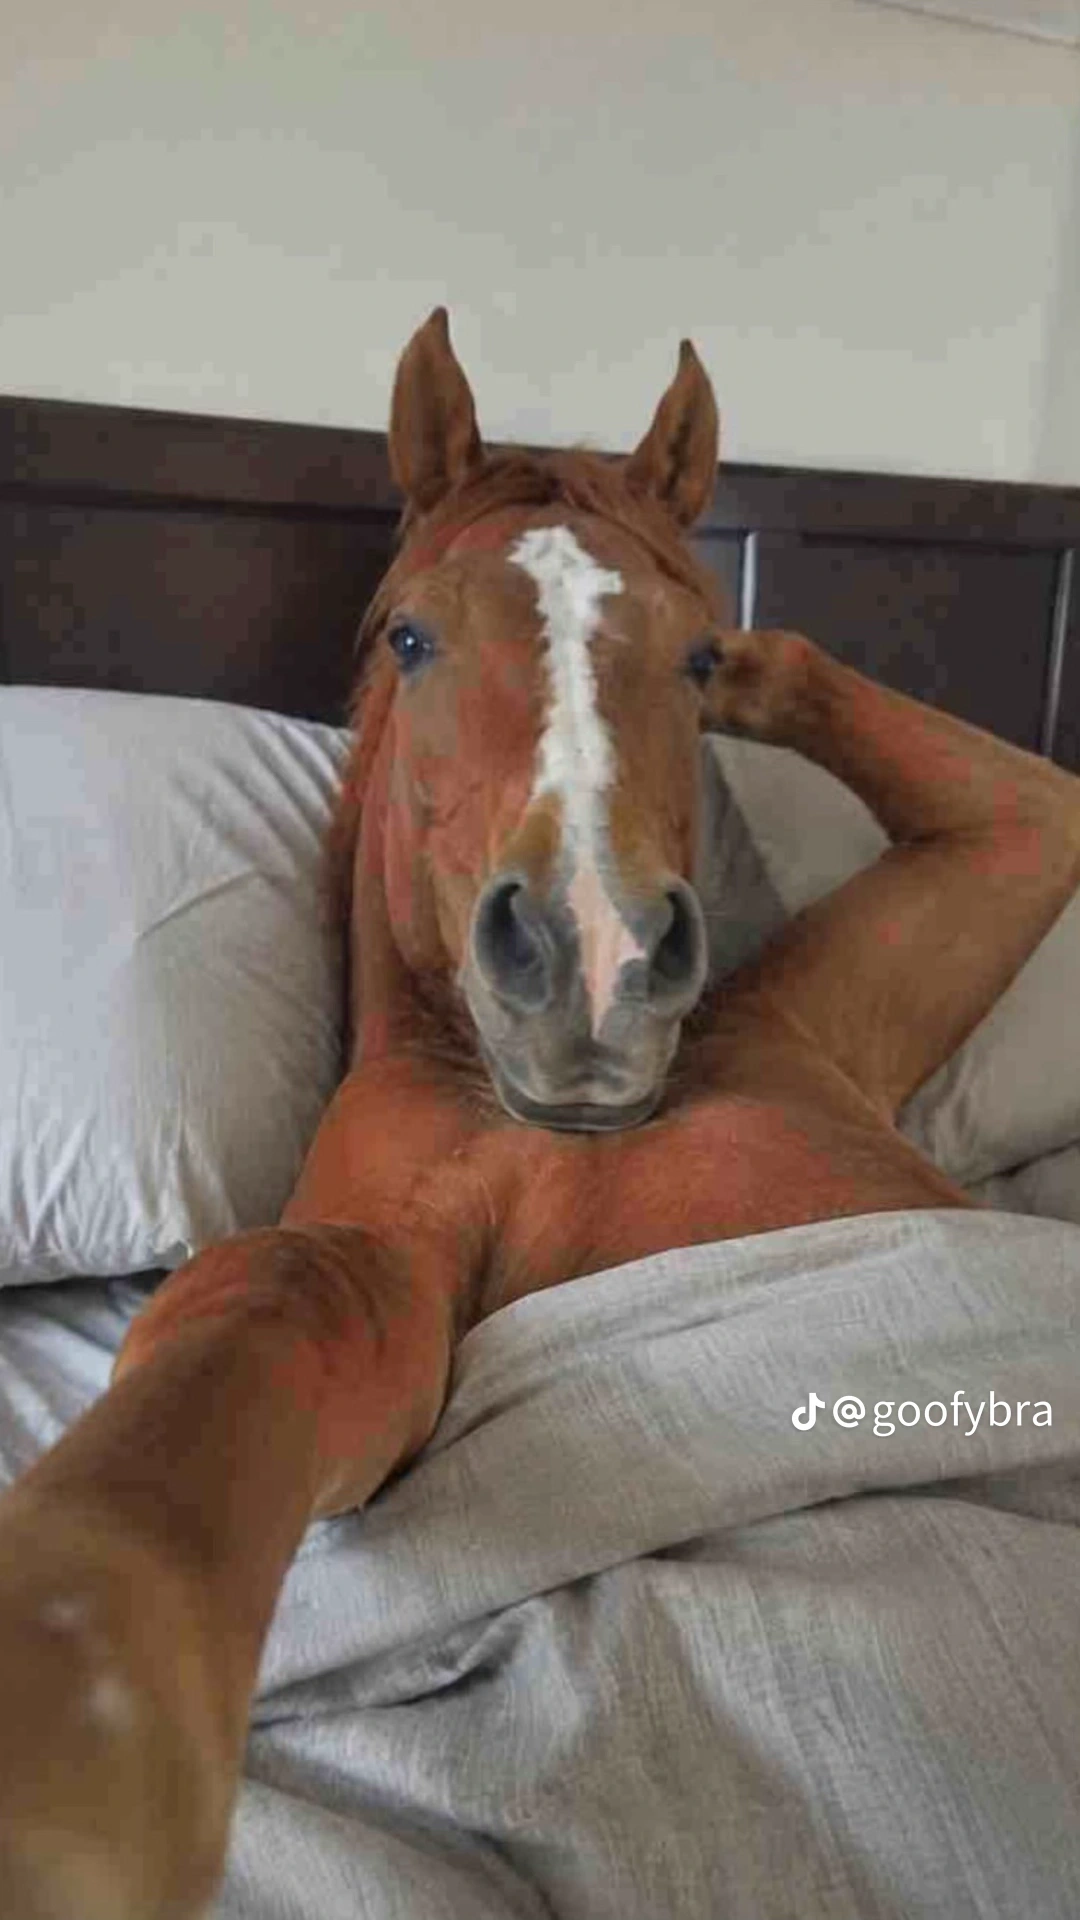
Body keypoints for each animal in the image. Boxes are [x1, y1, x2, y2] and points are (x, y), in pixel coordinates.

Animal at [1, 307, 1079, 1920]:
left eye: (693, 652)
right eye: (411, 635)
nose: (597, 954)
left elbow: (1028, 808)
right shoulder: (374, 1262)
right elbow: (273, 1298)